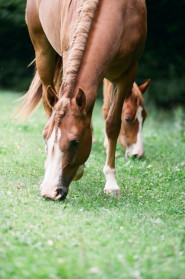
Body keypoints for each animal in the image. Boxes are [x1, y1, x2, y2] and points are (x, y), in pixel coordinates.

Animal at [17, 0, 147, 201]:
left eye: (75, 142)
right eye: (45, 138)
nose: (49, 192)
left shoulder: (126, 73)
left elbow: (112, 123)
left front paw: (111, 182)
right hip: (43, 53)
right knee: (48, 103)